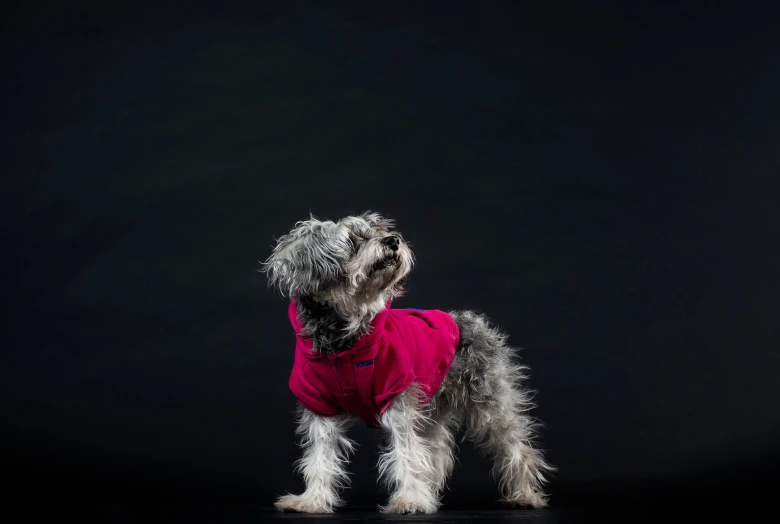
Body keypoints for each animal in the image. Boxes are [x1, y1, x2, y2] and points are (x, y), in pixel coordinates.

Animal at [264, 211, 556, 512]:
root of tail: (471, 319)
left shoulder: (399, 401)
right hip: (431, 408)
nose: (392, 240)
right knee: (437, 452)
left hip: (491, 405)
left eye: (380, 230)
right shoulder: (322, 409)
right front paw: (312, 500)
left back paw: (525, 495)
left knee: (517, 449)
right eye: (353, 240)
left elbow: (407, 453)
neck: (344, 341)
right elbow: (319, 458)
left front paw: (410, 500)